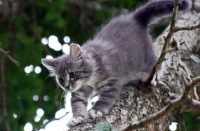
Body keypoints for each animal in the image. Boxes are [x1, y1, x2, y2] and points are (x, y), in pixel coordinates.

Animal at [41, 0, 191, 127]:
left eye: (72, 74)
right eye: (61, 79)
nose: (66, 86)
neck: (91, 76)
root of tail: (134, 18)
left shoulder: (112, 81)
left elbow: (106, 98)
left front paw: (96, 110)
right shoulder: (79, 92)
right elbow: (77, 104)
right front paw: (76, 118)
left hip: (146, 55)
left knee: (158, 63)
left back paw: (149, 77)